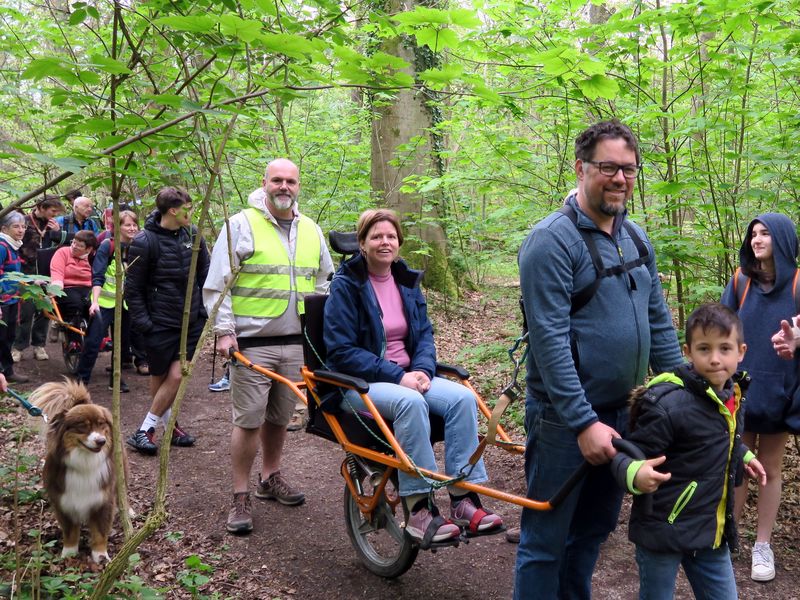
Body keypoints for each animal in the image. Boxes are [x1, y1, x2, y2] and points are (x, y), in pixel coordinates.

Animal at [28, 380, 126, 564]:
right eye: (82, 426)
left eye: (101, 424)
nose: (101, 441)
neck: (85, 463)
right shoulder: (63, 501)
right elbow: (70, 531)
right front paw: (69, 553)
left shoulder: (103, 501)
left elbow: (100, 533)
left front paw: (101, 556)